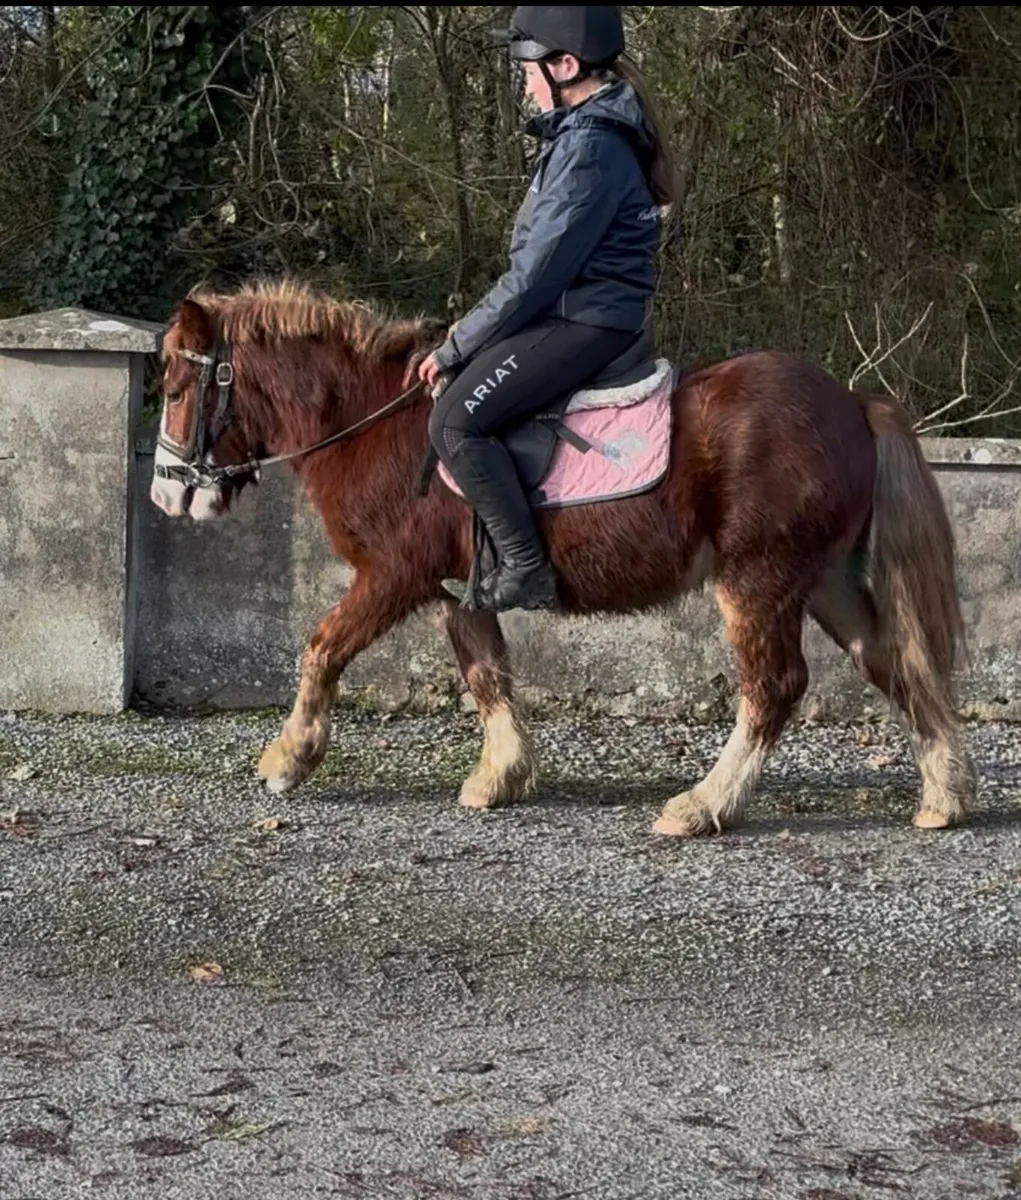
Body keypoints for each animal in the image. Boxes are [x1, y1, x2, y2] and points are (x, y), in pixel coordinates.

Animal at [149, 279, 976, 837]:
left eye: (179, 385)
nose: (165, 495)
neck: (369, 423)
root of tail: (853, 404)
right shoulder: (456, 588)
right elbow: (486, 673)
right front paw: (501, 775)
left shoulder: (392, 575)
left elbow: (322, 648)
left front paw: (288, 759)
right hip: (824, 579)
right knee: (894, 660)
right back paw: (942, 796)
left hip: (759, 577)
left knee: (774, 687)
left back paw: (702, 806)